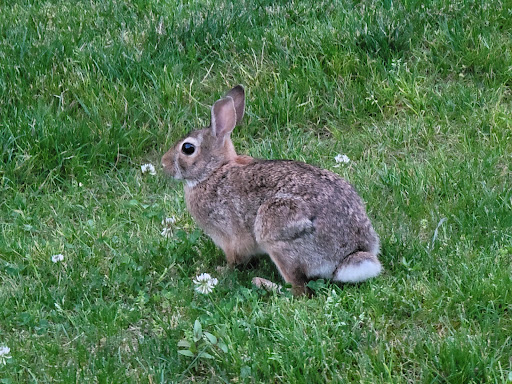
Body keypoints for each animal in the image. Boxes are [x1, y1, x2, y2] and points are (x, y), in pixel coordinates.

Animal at [162, 85, 382, 296]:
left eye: (188, 148)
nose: (164, 163)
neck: (213, 172)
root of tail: (351, 252)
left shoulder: (230, 237)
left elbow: (234, 260)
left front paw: (221, 271)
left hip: (276, 233)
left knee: (299, 290)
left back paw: (263, 284)